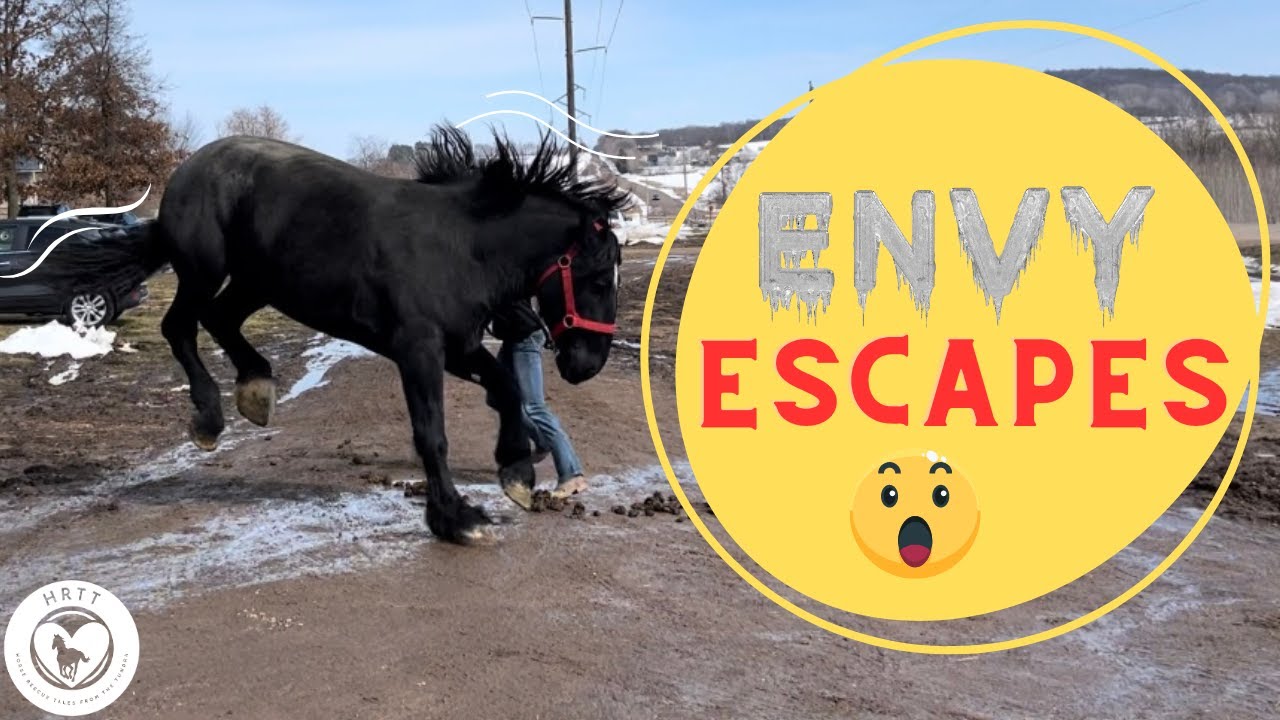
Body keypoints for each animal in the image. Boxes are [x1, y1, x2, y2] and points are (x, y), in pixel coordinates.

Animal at [39, 127, 627, 545]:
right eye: (599, 278)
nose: (587, 363)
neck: (460, 247)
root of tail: (187, 171)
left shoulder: (458, 348)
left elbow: (506, 390)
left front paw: (517, 473)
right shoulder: (418, 351)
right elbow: (431, 434)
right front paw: (456, 519)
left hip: (259, 281)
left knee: (221, 321)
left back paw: (255, 387)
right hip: (206, 269)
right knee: (179, 325)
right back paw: (209, 416)